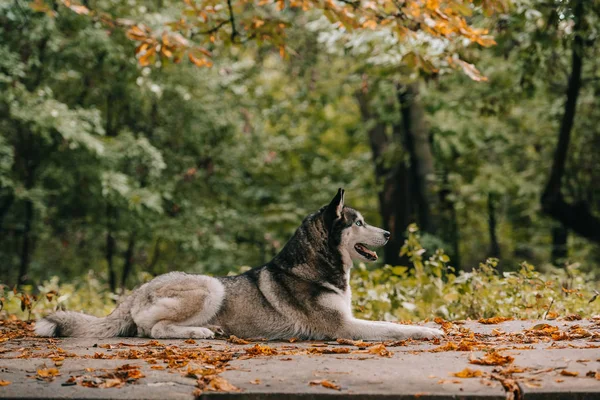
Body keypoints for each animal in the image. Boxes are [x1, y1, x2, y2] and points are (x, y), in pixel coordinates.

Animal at [36, 189, 440, 340]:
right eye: (359, 223)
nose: (388, 233)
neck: (314, 267)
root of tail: (140, 288)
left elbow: (394, 322)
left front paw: (429, 326)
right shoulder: (344, 327)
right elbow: (394, 327)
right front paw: (428, 332)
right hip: (210, 287)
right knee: (151, 329)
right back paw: (198, 333)